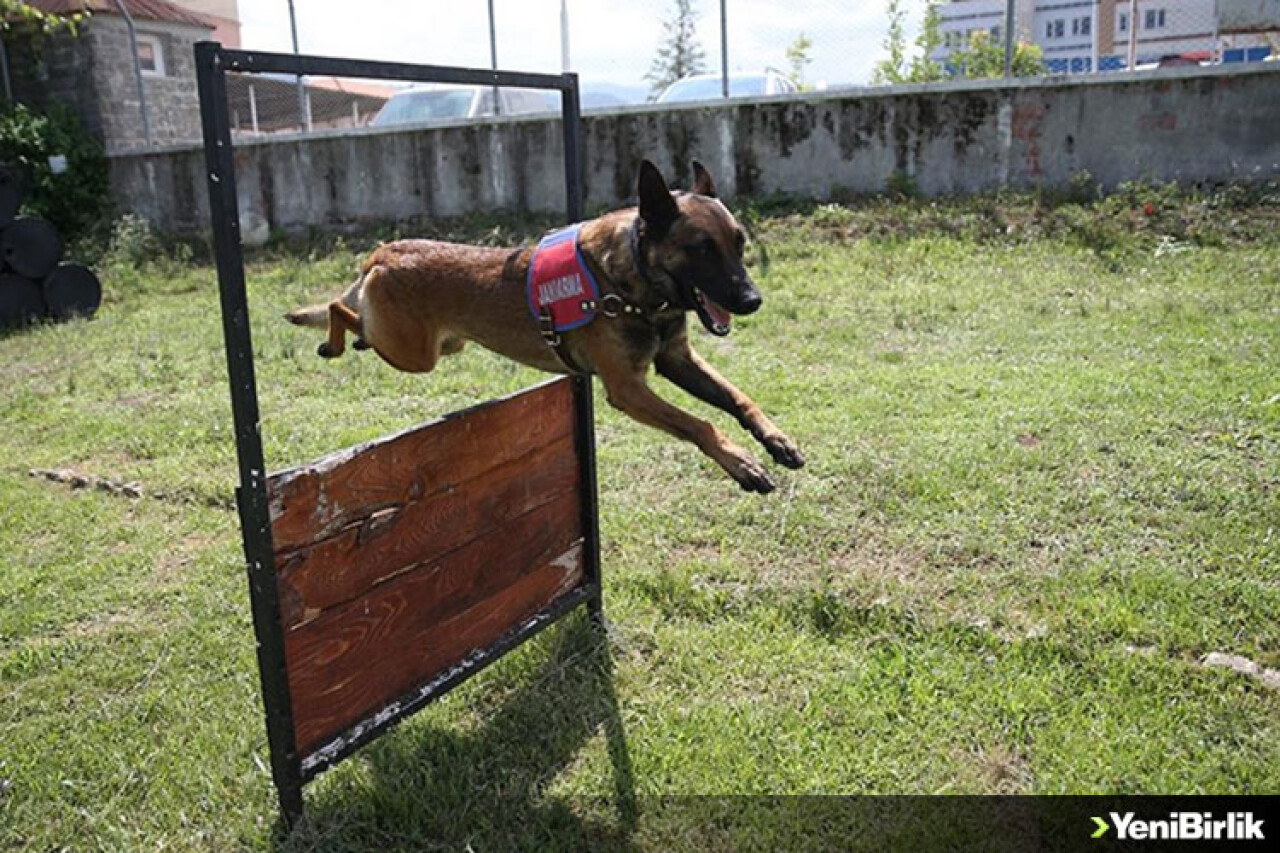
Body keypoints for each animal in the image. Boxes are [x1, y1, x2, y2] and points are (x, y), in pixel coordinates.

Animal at [291, 159, 808, 491]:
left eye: (739, 243)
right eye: (702, 249)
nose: (752, 301)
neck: (630, 281)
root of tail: (385, 251)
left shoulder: (676, 360)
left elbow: (739, 399)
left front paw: (776, 439)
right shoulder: (628, 389)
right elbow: (699, 422)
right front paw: (741, 463)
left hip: (437, 347)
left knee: (354, 315)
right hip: (415, 355)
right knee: (341, 309)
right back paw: (334, 341)